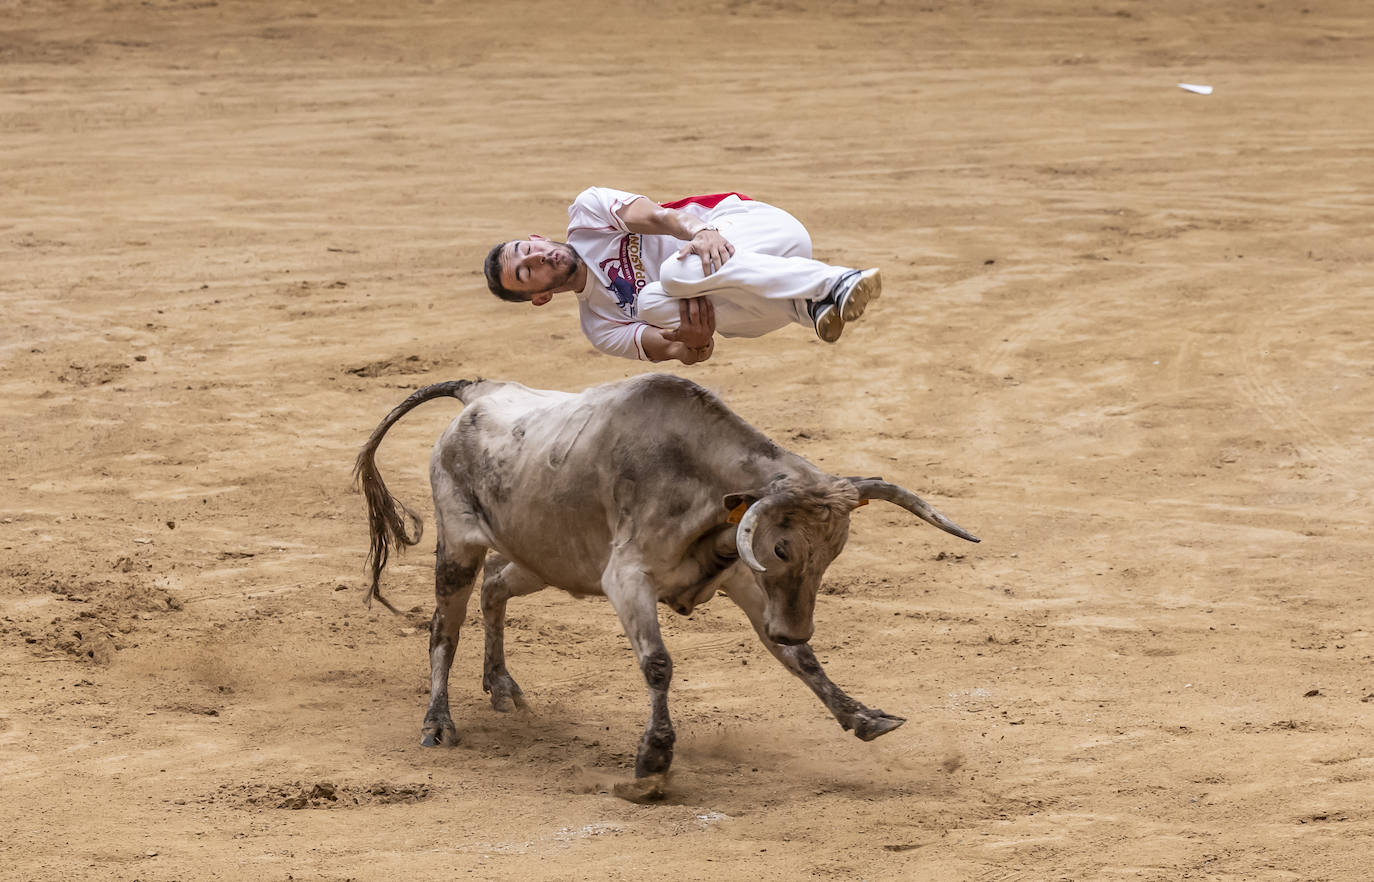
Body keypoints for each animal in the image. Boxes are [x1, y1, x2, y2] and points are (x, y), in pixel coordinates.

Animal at [354, 370, 978, 774]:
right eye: (781, 548)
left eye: (834, 552)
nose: (793, 626)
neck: (698, 477)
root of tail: (477, 393)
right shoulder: (627, 580)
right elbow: (658, 663)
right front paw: (654, 757)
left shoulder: (739, 579)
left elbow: (800, 660)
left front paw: (863, 716)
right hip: (459, 545)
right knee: (444, 626)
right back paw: (438, 723)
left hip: (546, 558)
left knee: (496, 587)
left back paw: (503, 686)